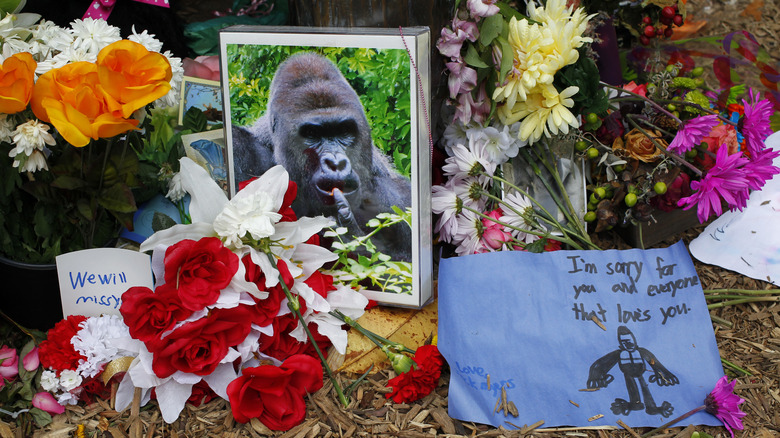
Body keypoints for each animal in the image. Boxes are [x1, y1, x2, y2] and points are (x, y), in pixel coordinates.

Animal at [232, 53, 414, 262]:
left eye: (344, 131)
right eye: (312, 134)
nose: (336, 163)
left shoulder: (400, 198)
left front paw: (350, 238)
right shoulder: (240, 150)